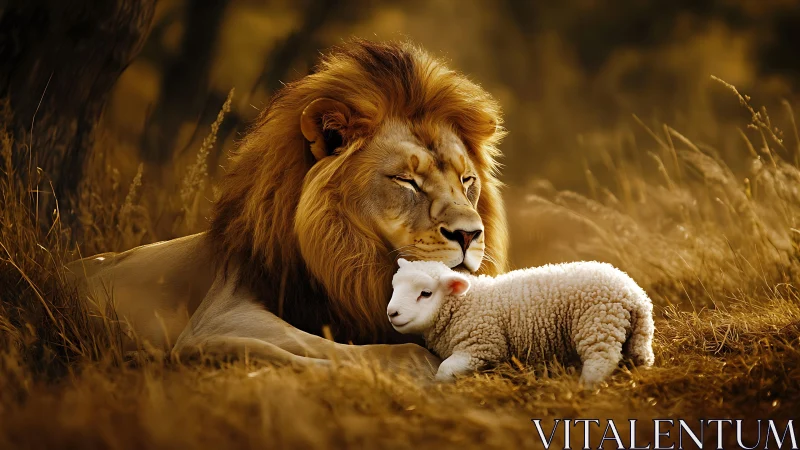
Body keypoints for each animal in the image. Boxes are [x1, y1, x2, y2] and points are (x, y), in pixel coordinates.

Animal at [67, 40, 509, 377]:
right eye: (406, 180)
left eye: (467, 181)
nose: (469, 235)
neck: (354, 264)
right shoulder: (221, 311)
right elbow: (339, 347)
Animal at [387, 259, 655, 384]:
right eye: (395, 286)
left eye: (425, 293)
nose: (392, 313)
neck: (465, 302)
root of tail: (634, 295)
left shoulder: (481, 346)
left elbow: (444, 370)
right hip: (635, 334)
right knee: (641, 357)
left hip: (598, 324)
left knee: (602, 360)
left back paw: (584, 385)